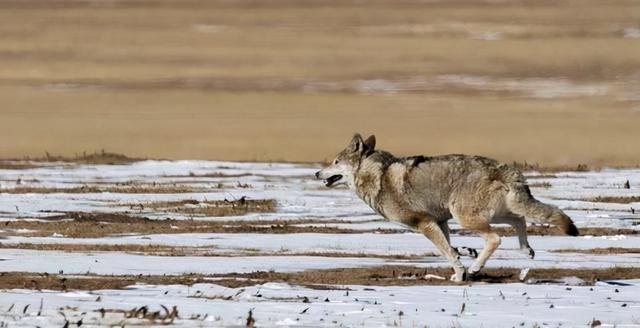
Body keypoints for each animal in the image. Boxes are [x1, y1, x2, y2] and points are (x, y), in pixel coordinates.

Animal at [316, 133, 580, 282]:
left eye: (335, 162)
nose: (317, 173)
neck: (378, 177)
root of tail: (507, 170)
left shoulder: (425, 224)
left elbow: (446, 252)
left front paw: (461, 274)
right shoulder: (440, 222)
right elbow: (451, 248)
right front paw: (462, 261)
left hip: (467, 218)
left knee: (496, 238)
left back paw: (476, 269)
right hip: (491, 214)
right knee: (520, 220)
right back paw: (526, 251)